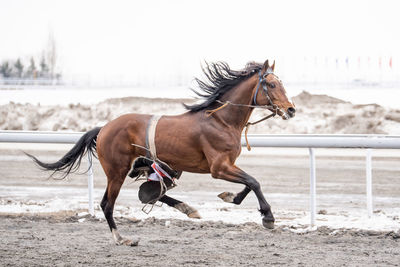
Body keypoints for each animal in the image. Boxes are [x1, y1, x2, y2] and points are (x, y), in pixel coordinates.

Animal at [27, 60, 294, 247]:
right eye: (272, 85)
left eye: (282, 84)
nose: (291, 109)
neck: (221, 120)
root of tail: (103, 128)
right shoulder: (219, 167)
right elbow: (254, 181)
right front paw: (268, 217)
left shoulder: (226, 165)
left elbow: (249, 183)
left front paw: (231, 197)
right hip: (117, 171)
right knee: (107, 204)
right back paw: (122, 238)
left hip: (147, 166)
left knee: (153, 193)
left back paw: (187, 208)